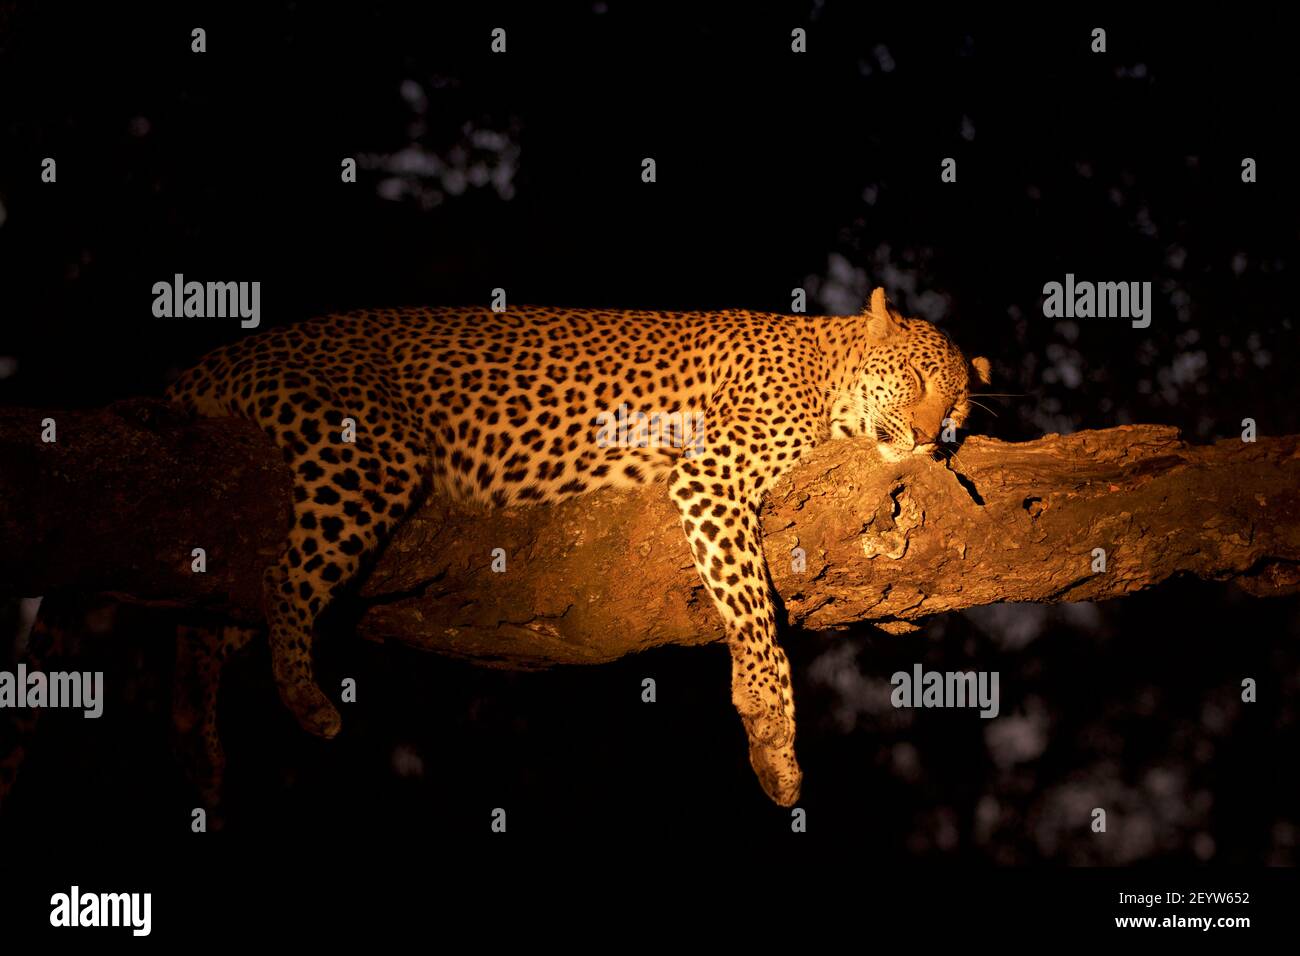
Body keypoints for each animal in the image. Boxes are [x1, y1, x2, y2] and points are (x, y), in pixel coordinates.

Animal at [165, 290, 993, 806]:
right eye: (914, 377)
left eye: (957, 405)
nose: (931, 438)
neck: (828, 367)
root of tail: (217, 357)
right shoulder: (710, 474)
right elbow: (754, 610)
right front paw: (769, 730)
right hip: (369, 450)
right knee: (282, 577)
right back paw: (305, 700)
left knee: (211, 622)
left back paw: (198, 748)